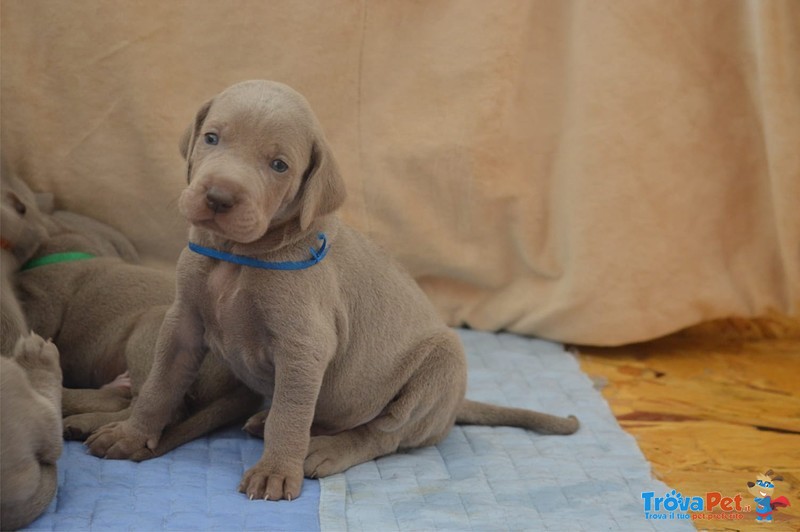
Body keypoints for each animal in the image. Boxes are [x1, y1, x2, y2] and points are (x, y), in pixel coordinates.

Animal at [87, 81, 580, 500]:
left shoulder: (304, 346)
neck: (239, 256)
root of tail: (452, 409)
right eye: (212, 138)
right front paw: (131, 434)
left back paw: (324, 449)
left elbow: (291, 416)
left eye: (279, 165)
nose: (219, 197)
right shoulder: (183, 323)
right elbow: (160, 385)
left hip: (437, 369)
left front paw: (275, 471)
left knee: (382, 434)